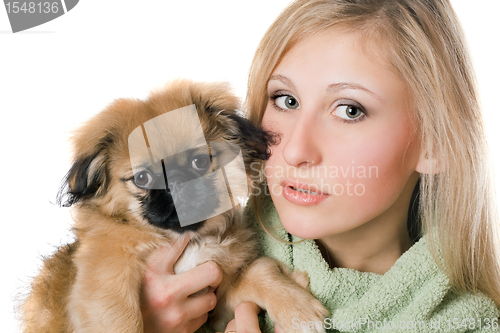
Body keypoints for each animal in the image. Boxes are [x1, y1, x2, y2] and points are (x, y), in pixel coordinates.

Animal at [21, 80, 328, 332]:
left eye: (200, 162)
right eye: (143, 178)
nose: (176, 184)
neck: (187, 240)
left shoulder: (215, 308)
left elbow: (259, 272)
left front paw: (297, 308)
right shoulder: (104, 281)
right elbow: (121, 319)